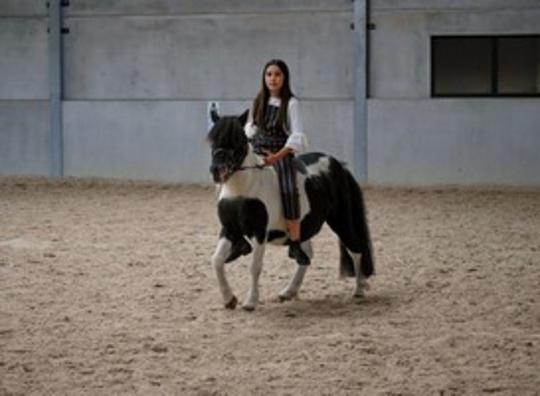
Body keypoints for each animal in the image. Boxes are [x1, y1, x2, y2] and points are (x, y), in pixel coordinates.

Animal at [205, 110, 374, 310]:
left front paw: (250, 302)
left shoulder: (259, 232)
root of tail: (338, 165)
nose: (217, 170)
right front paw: (229, 299)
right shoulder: (229, 229)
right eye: (212, 139)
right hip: (305, 225)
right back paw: (289, 291)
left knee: (355, 249)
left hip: (340, 219)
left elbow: (255, 266)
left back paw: (359, 289)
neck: (242, 190)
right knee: (306, 255)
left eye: (238, 139)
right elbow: (216, 260)